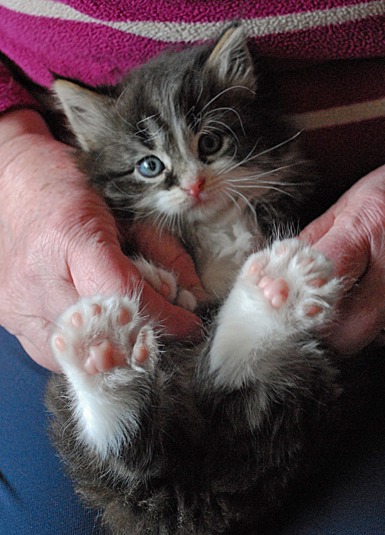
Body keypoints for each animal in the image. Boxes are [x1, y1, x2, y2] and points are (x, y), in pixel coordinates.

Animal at [45, 27, 342, 532]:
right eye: (150, 165)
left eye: (211, 144)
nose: (194, 186)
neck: (212, 224)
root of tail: (196, 490)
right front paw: (157, 281)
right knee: (134, 449)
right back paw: (105, 351)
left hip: (307, 388)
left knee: (230, 380)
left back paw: (275, 290)